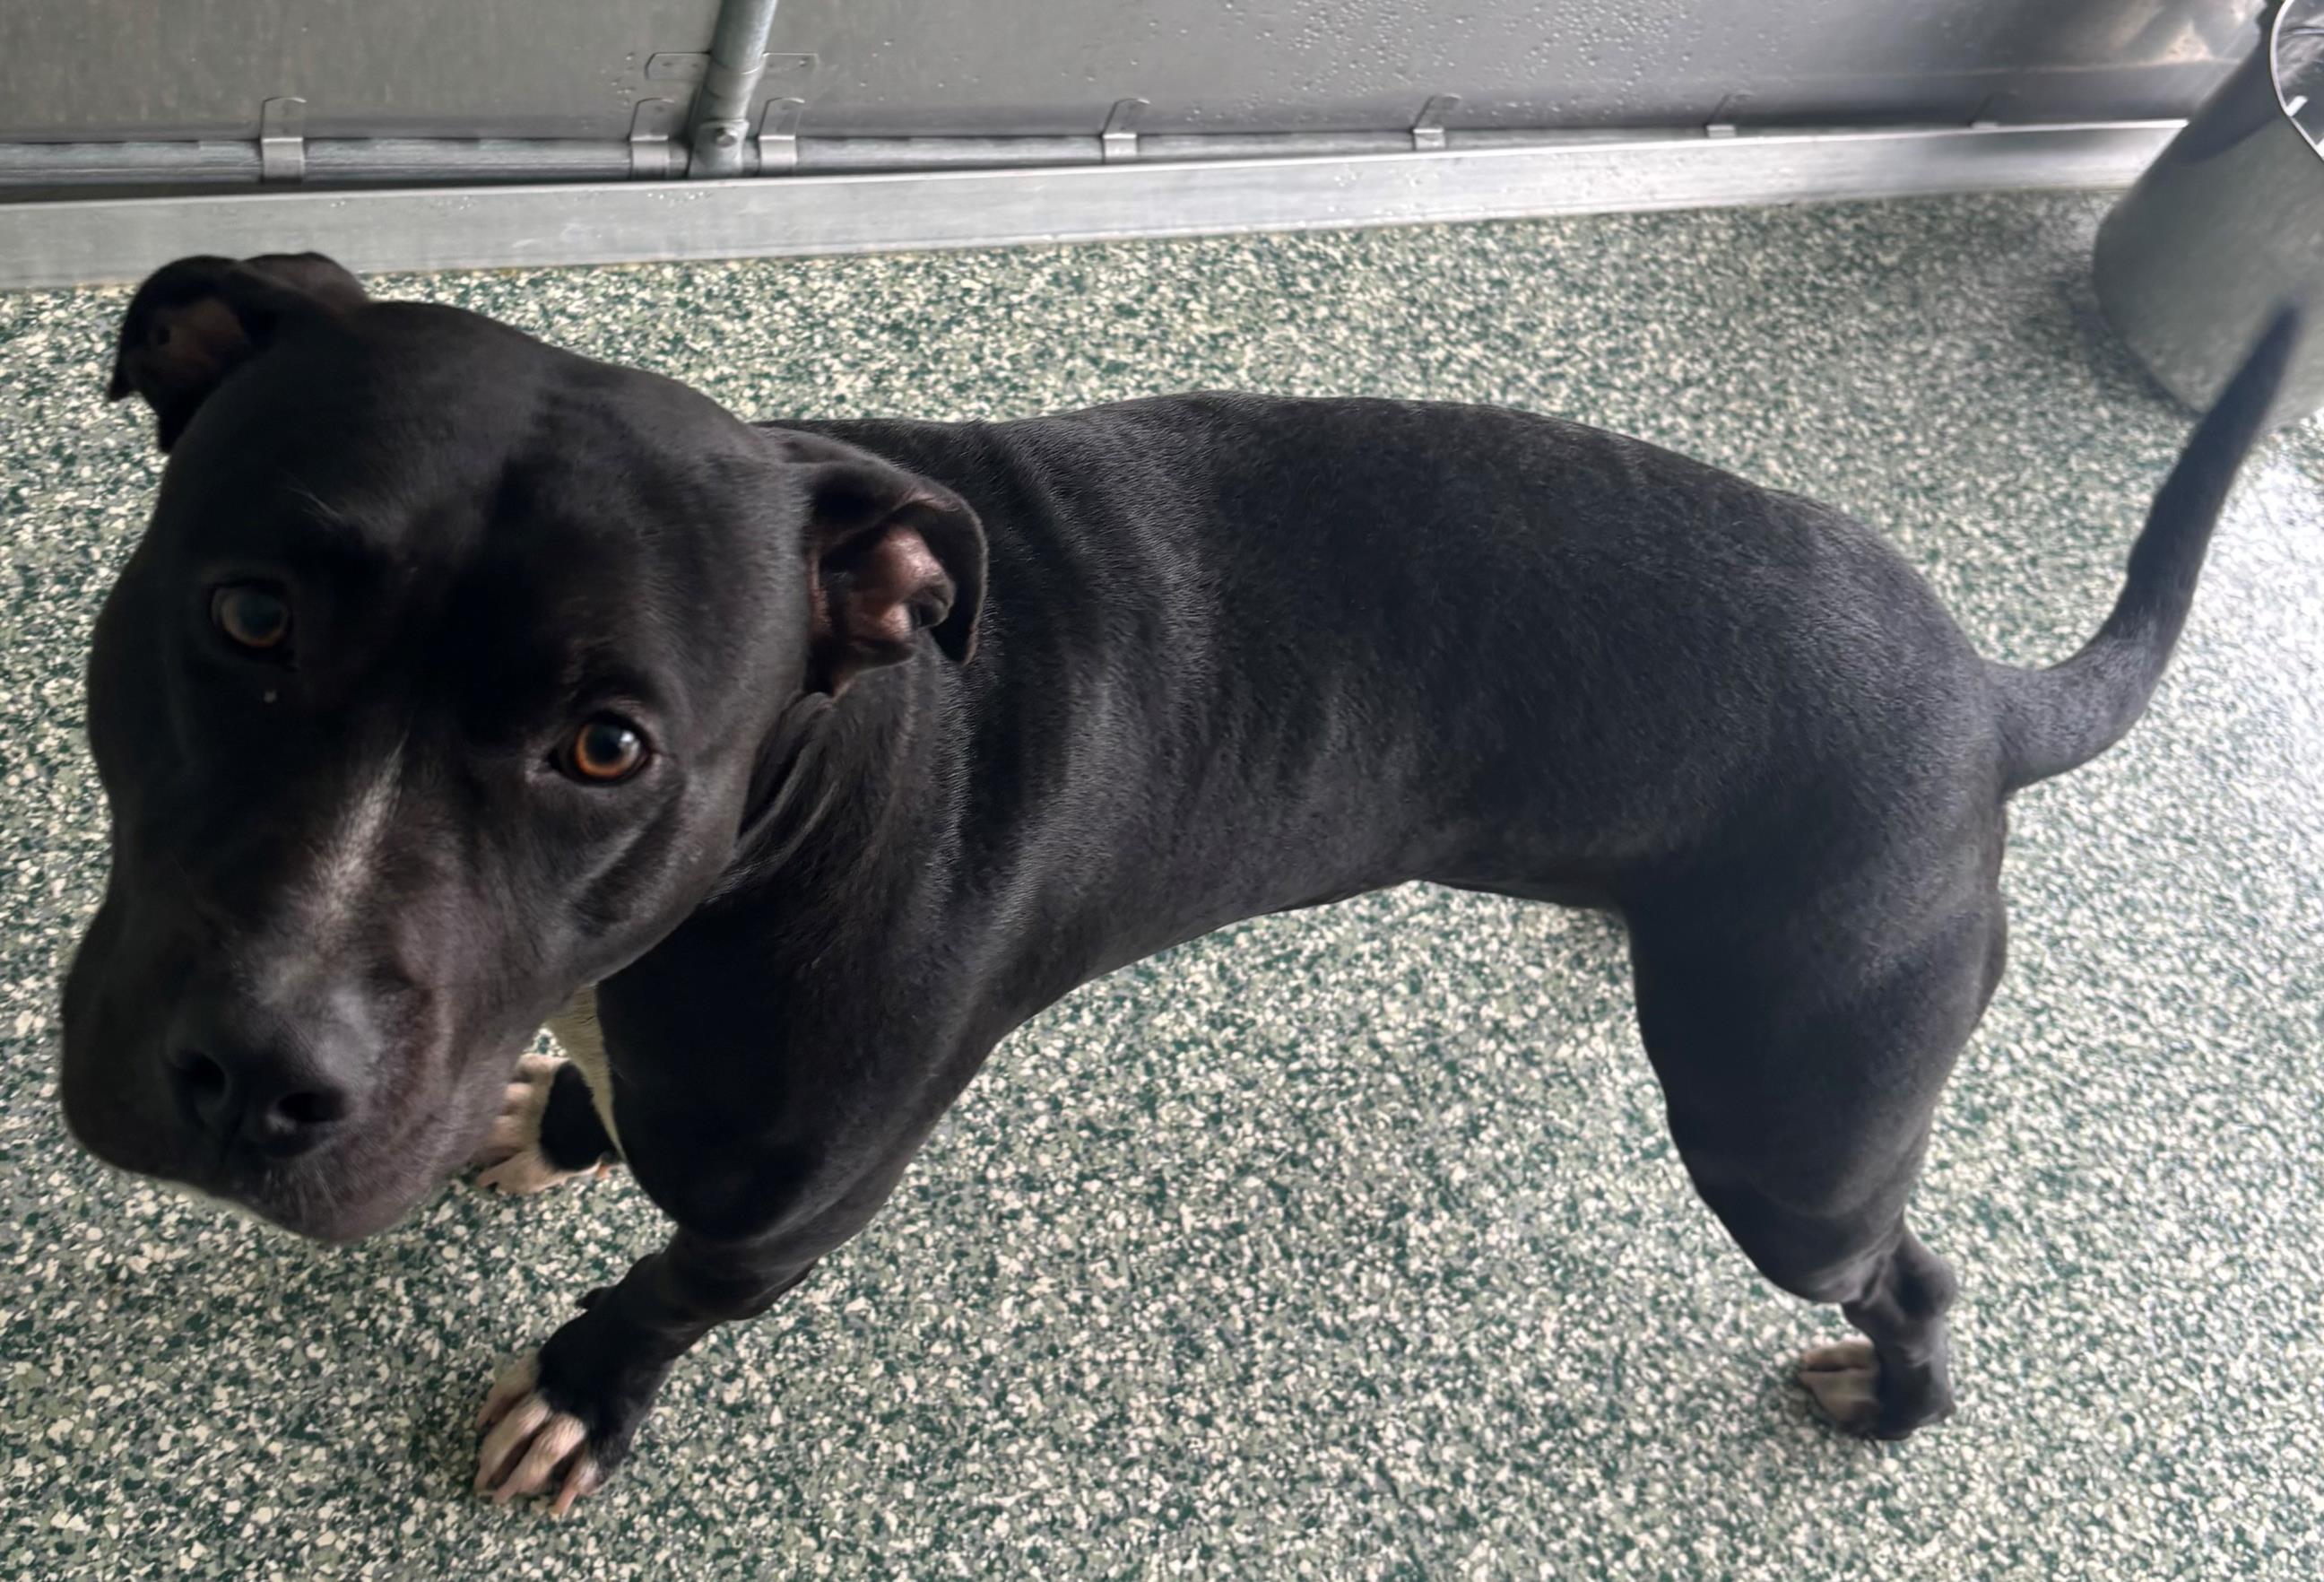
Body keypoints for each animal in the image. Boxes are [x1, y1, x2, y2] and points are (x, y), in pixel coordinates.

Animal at [58, 251, 2293, 1514]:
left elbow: (675, 1287)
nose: (257, 1072)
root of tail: (1988, 695)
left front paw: (585, 1390)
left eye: (610, 747)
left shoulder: (791, 1211)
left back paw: (1895, 1398)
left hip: (1790, 1138)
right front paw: (560, 1121)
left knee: (1908, 1260)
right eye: (246, 613)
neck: (813, 764)